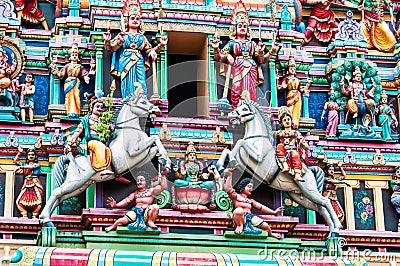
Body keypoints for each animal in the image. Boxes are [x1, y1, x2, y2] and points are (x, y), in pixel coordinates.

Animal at [39, 94, 171, 227]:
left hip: (80, 185)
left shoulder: (143, 157)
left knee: (61, 197)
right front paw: (164, 162)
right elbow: (154, 138)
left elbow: (155, 146)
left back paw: (45, 218)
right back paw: (46, 219)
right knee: (56, 192)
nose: (156, 109)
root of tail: (73, 159)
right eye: (143, 102)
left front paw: (165, 164)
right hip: (76, 180)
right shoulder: (133, 151)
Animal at [217, 98, 342, 236]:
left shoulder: (258, 157)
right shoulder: (243, 162)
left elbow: (240, 142)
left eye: (244, 109)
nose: (231, 114)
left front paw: (230, 163)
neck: (255, 138)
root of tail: (310, 170)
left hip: (309, 189)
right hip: (300, 196)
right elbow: (227, 151)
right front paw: (222, 166)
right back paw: (331, 232)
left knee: (325, 202)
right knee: (320, 208)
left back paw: (337, 228)